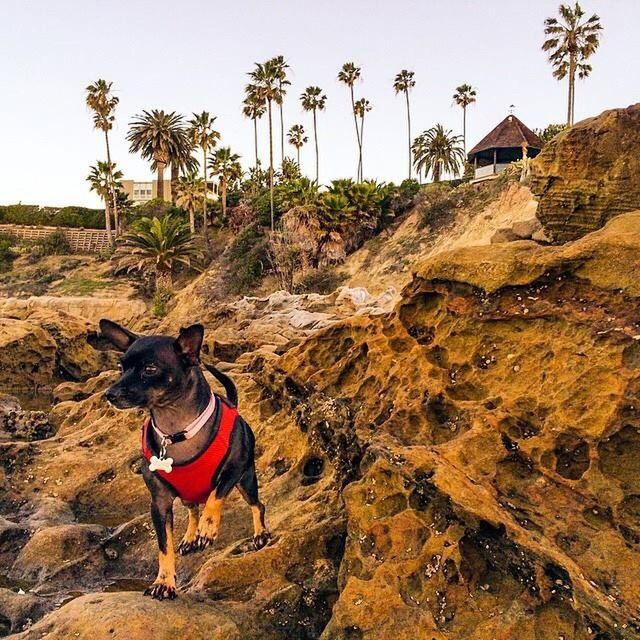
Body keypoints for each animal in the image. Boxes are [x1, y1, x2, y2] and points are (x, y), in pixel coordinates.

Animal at [100, 320, 270, 600]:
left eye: (150, 369)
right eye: (120, 367)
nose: (110, 394)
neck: (177, 431)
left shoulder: (232, 471)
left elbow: (215, 496)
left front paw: (208, 528)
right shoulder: (159, 504)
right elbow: (164, 546)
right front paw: (164, 582)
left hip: (246, 479)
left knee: (257, 505)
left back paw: (259, 534)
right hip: (189, 494)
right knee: (192, 509)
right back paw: (190, 537)